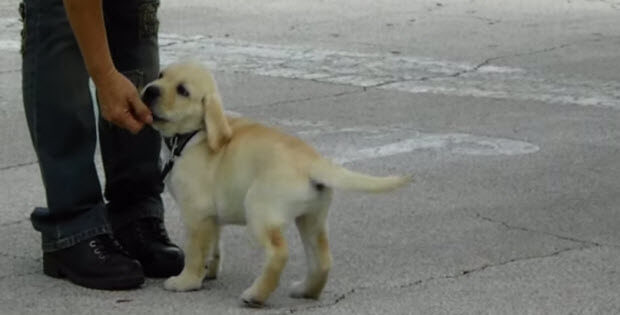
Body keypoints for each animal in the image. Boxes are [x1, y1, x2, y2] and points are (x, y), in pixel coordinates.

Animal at [141, 61, 412, 308]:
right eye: (161, 75)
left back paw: (255, 295)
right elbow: (214, 246)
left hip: (259, 210)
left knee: (279, 253)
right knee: (323, 259)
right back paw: (306, 290)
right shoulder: (211, 216)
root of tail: (313, 161)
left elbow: (196, 252)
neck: (193, 135)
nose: (150, 90)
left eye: (183, 91)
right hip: (312, 218)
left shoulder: (196, 214)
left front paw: (186, 281)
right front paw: (209, 271)